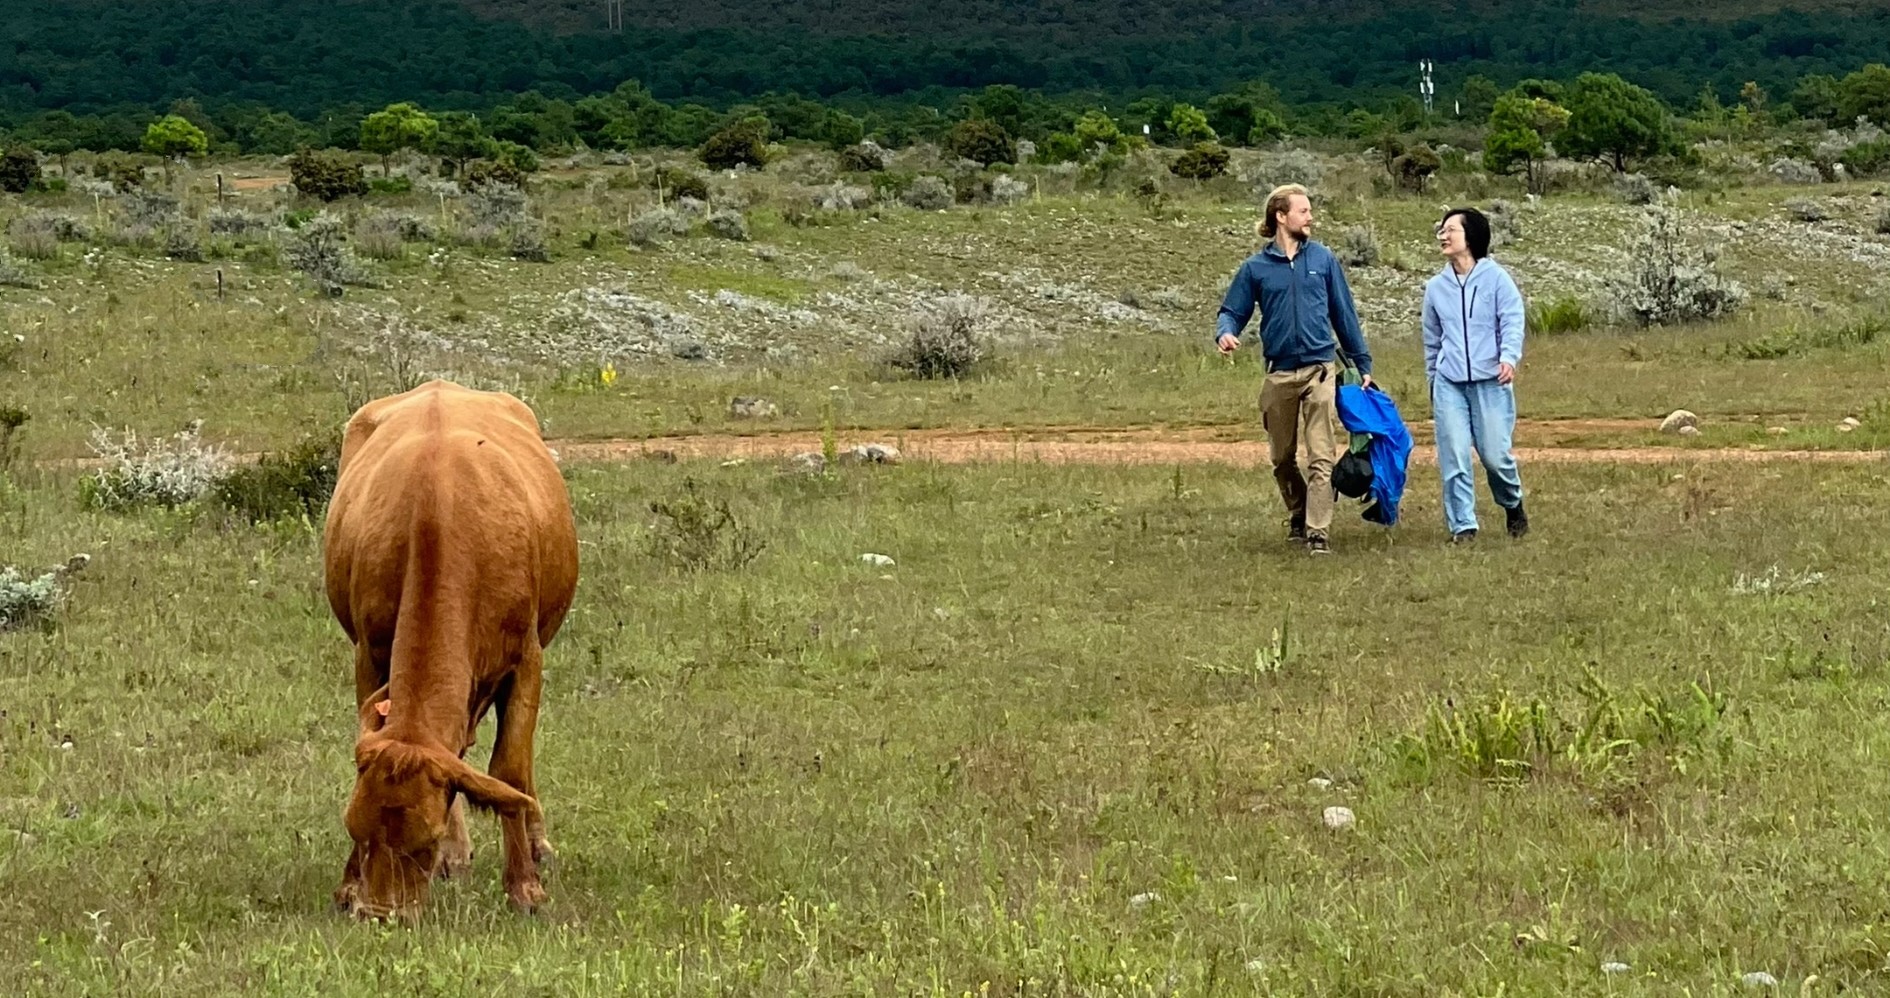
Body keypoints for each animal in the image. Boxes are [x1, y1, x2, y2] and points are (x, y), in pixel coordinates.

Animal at [322, 379, 579, 920]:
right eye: (355, 828)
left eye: (423, 841)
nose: (381, 915)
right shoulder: (369, 654)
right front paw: (350, 885)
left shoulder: (526, 659)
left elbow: (510, 771)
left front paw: (524, 886)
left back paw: (536, 845)